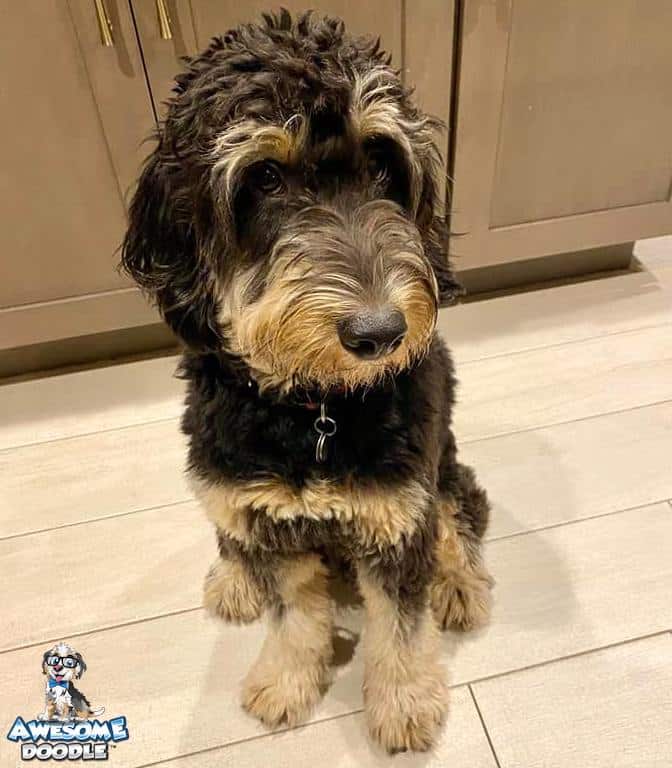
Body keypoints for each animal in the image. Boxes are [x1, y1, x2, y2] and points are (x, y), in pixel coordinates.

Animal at [121, 10, 490, 756]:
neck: (317, 408)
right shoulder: (265, 512)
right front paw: (287, 679)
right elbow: (293, 609)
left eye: (382, 161)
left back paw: (460, 583)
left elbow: (399, 620)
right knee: (233, 535)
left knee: (459, 513)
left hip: (443, 470)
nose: (380, 333)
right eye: (263, 177)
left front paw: (405, 702)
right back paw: (233, 576)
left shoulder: (395, 512)